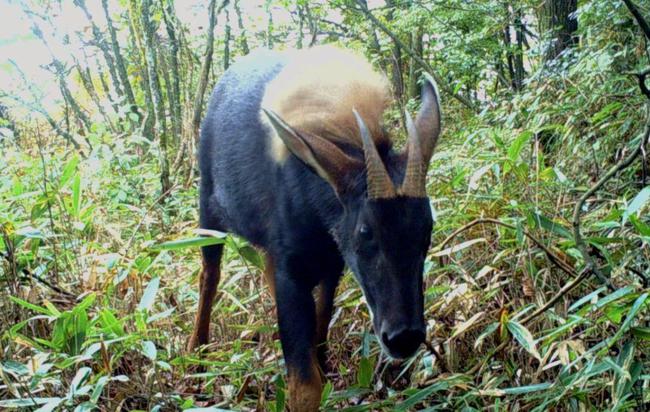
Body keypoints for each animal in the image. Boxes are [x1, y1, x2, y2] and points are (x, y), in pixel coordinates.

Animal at [189, 45, 440, 412]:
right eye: (366, 231)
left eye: (427, 229)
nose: (403, 337)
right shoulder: (291, 267)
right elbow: (305, 387)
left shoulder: (331, 261)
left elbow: (322, 318)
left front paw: (324, 363)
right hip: (208, 209)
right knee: (209, 275)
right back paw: (196, 357)